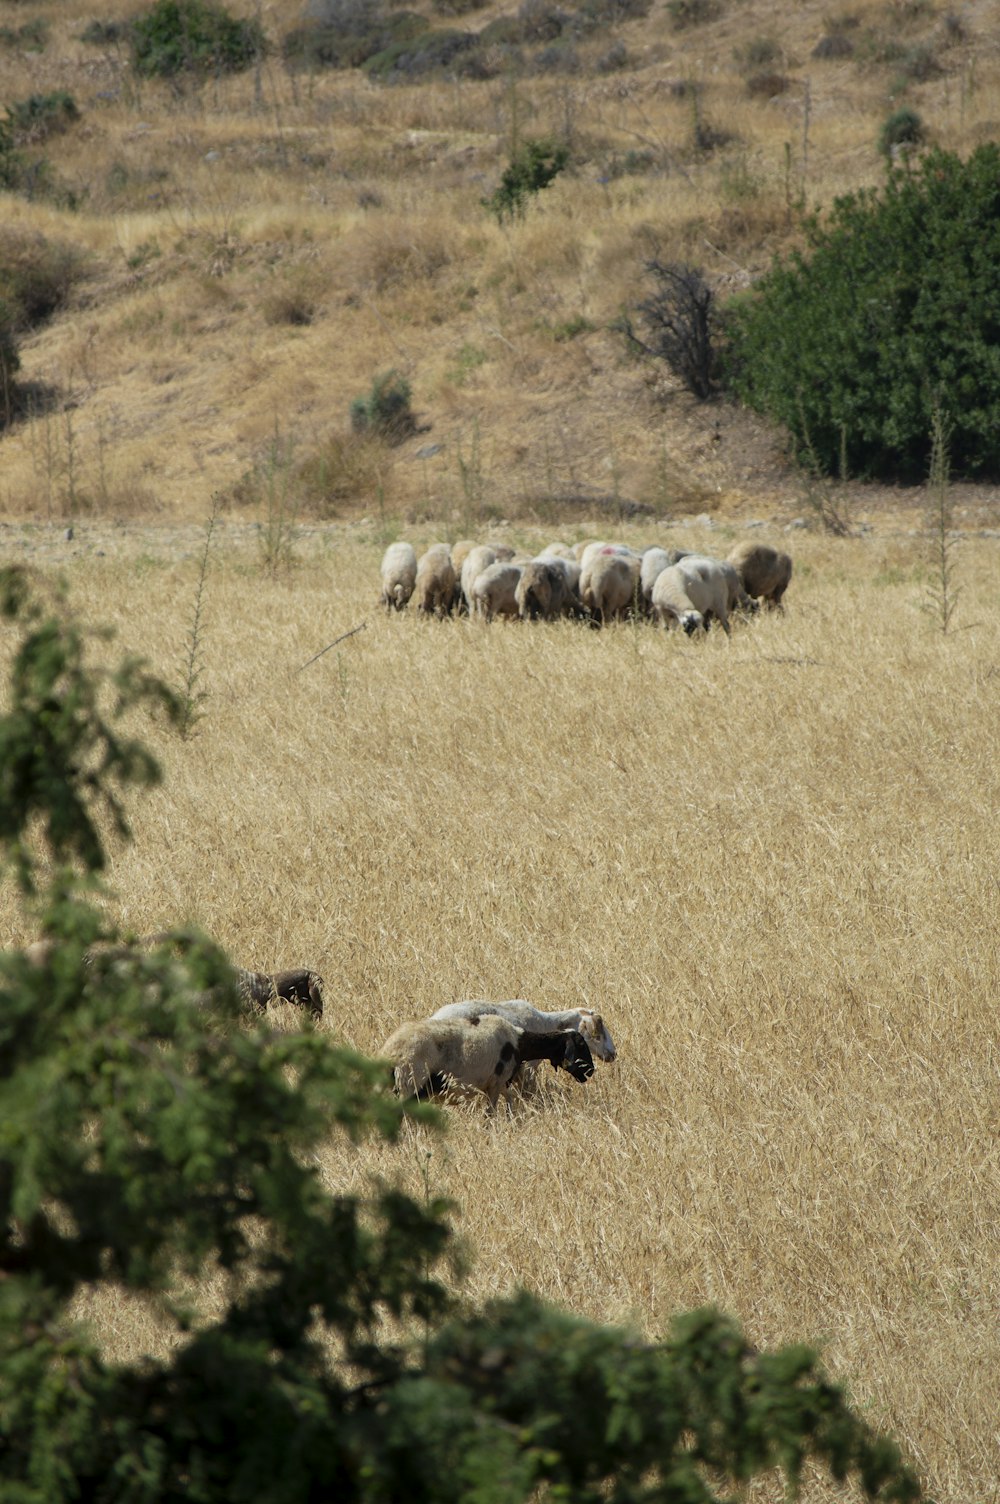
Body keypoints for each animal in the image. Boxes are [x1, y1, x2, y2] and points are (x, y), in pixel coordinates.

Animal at [378, 1010, 589, 1118]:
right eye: (580, 1044)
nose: (591, 1072)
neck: (519, 1042)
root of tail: (390, 1052)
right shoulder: (495, 1083)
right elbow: (490, 1115)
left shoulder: (502, 1083)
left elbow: (510, 1102)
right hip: (409, 1085)